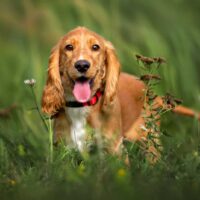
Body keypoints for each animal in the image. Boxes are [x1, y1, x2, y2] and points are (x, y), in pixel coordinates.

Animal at [41, 26, 199, 152]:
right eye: (69, 47)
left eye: (95, 47)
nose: (82, 65)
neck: (81, 106)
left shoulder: (114, 149)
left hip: (150, 141)